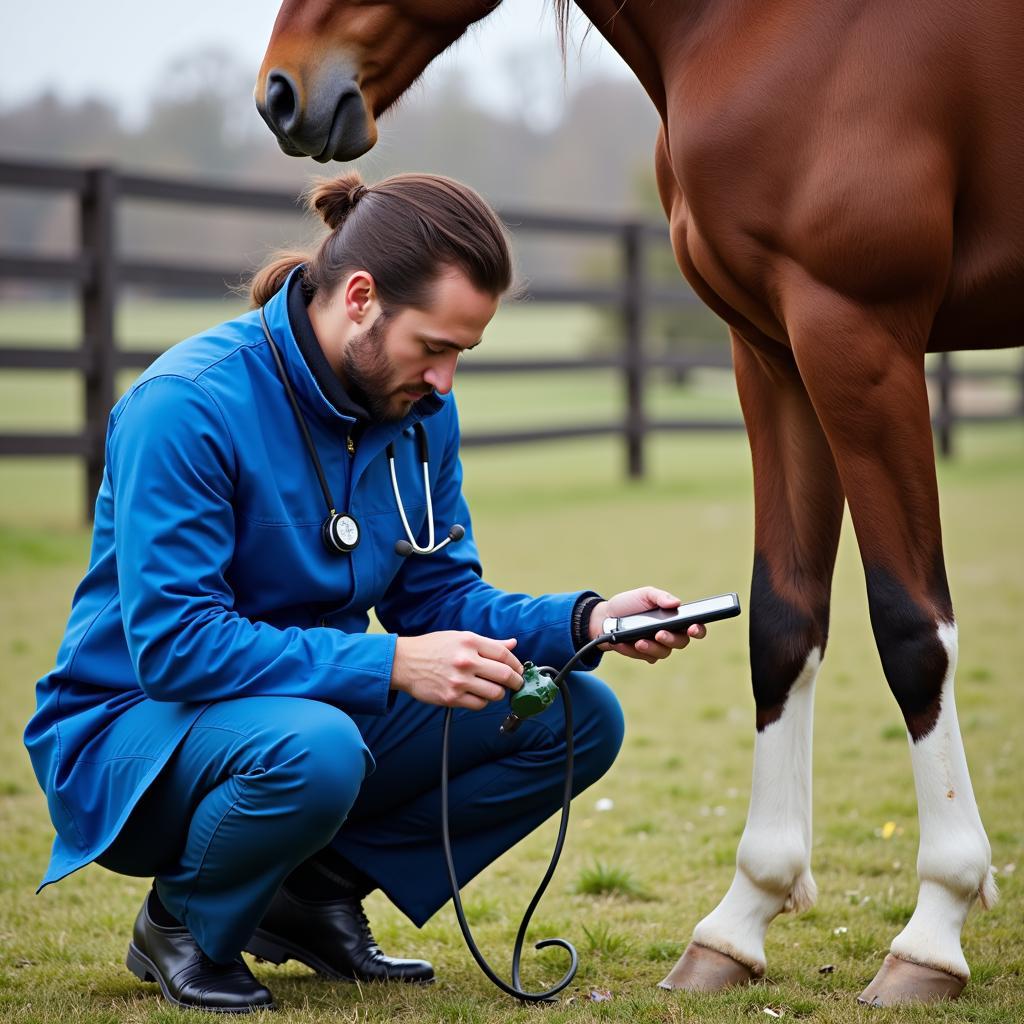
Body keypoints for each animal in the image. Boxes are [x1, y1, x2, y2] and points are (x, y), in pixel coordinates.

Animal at [253, 0, 1015, 1007]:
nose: (283, 91)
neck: (785, 34)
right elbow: (783, 622)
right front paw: (741, 918)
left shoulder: (858, 334)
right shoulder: (775, 349)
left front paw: (934, 930)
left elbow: (911, 629)